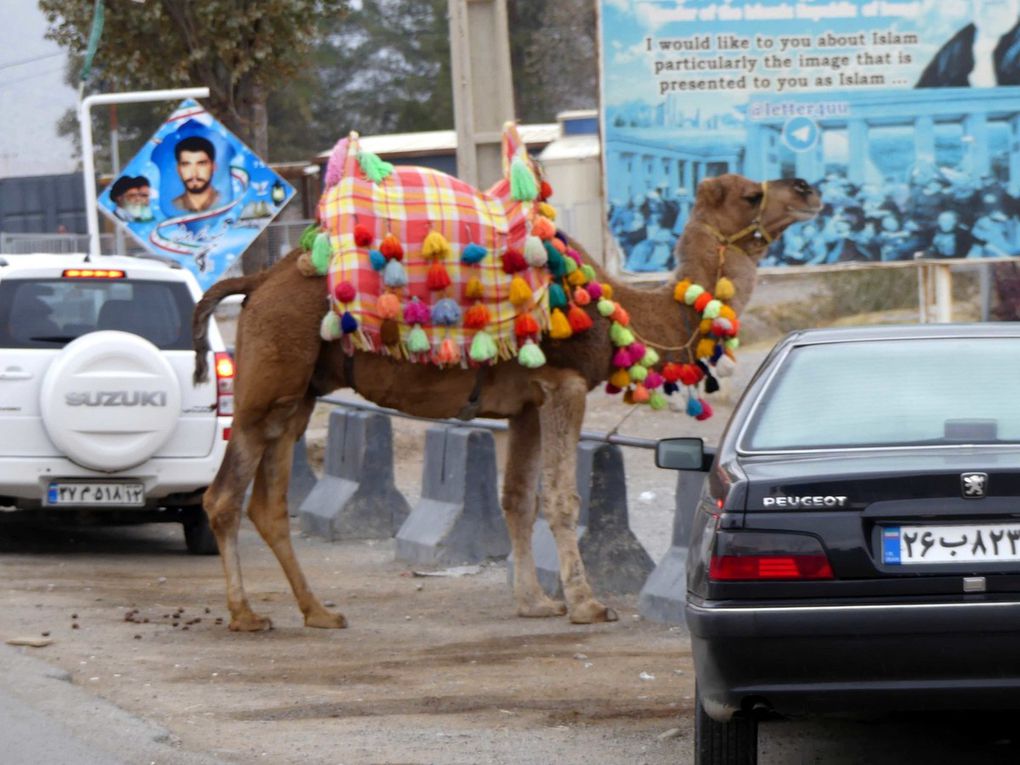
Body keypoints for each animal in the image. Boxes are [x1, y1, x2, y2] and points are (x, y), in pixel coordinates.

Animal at [192, 173, 820, 636]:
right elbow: (562, 498)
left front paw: (535, 602)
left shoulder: (525, 405)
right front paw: (587, 604)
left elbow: (517, 499)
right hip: (267, 385)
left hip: (295, 396)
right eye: (752, 194)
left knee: (267, 504)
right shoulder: (564, 385)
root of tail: (257, 281)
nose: (808, 188)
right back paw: (247, 615)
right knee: (223, 496)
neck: (625, 311)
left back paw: (318, 612)